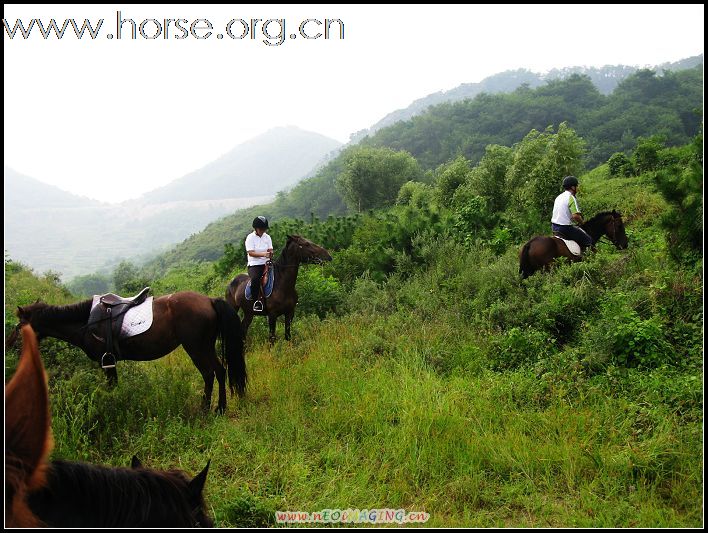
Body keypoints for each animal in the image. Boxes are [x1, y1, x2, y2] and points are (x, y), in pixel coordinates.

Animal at [5, 290, 246, 412]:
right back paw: (218, 407)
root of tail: (209, 300)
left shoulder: (105, 362)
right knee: (219, 371)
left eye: (17, 326)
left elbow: (111, 388)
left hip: (196, 347)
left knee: (209, 373)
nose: (9, 345)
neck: (86, 322)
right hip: (205, 346)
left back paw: (209, 408)